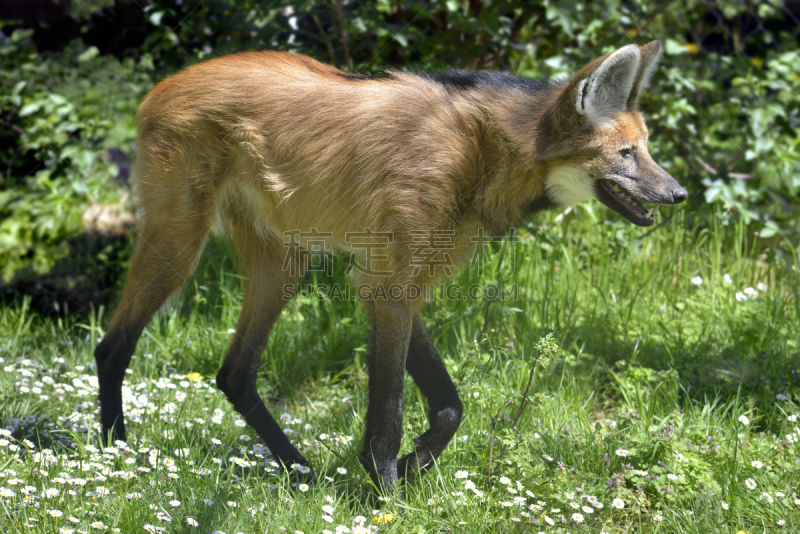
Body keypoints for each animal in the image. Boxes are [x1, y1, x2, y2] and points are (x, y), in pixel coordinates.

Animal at [95, 40, 688, 494]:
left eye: (646, 149)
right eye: (627, 154)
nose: (679, 193)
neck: (485, 151)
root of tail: (162, 87)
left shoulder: (403, 283)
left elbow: (448, 406)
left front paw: (406, 471)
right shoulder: (388, 283)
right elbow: (390, 411)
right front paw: (386, 492)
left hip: (284, 261)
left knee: (235, 372)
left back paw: (301, 471)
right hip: (180, 243)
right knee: (113, 345)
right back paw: (115, 457)